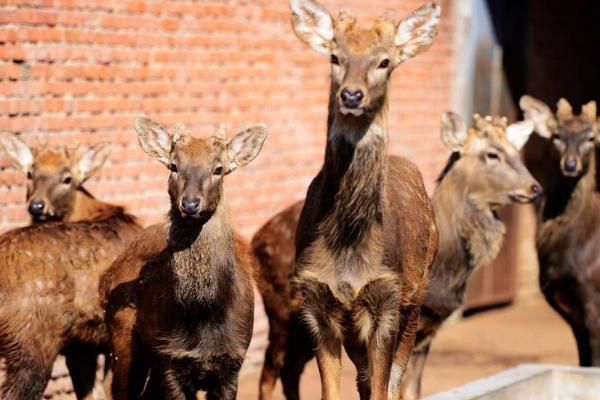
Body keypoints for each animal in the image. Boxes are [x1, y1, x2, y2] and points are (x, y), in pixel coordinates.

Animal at [101, 116, 268, 400]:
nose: (190, 204)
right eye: (173, 166)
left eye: (218, 169)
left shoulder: (233, 360)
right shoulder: (171, 357)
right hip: (122, 339)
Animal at [251, 111, 540, 398]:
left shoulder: (426, 330)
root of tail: (254, 240)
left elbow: (409, 388)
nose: (535, 188)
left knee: (293, 371)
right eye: (492, 154)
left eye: (516, 150)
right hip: (283, 312)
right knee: (270, 371)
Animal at [288, 0, 438, 398]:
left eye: (385, 61)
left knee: (397, 381)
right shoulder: (314, 300)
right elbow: (332, 390)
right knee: (364, 379)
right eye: (335, 56)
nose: (352, 95)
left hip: (417, 293)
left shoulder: (387, 297)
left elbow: (385, 386)